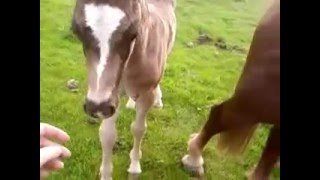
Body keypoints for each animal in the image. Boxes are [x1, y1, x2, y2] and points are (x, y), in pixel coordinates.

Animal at [71, 0, 176, 179]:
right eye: (76, 31)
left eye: (133, 33)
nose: (96, 107)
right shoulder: (112, 95)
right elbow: (107, 135)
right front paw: (105, 173)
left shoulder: (145, 94)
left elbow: (139, 129)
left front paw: (134, 167)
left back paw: (158, 100)